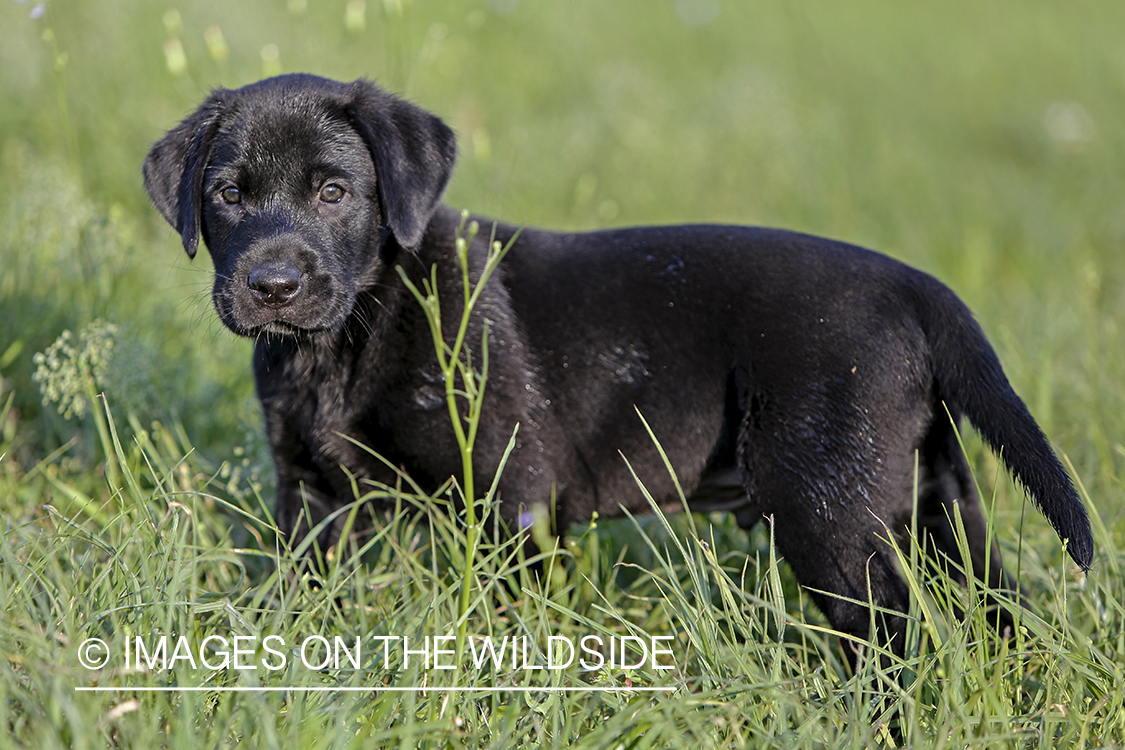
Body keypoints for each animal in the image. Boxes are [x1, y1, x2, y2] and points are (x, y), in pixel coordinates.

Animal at [145, 73, 1093, 652]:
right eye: (228, 195)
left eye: (334, 192)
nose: (272, 285)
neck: (350, 335)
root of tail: (915, 285)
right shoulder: (310, 501)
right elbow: (298, 597)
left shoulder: (513, 498)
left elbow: (514, 623)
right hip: (935, 501)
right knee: (994, 608)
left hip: (826, 508)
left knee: (891, 633)